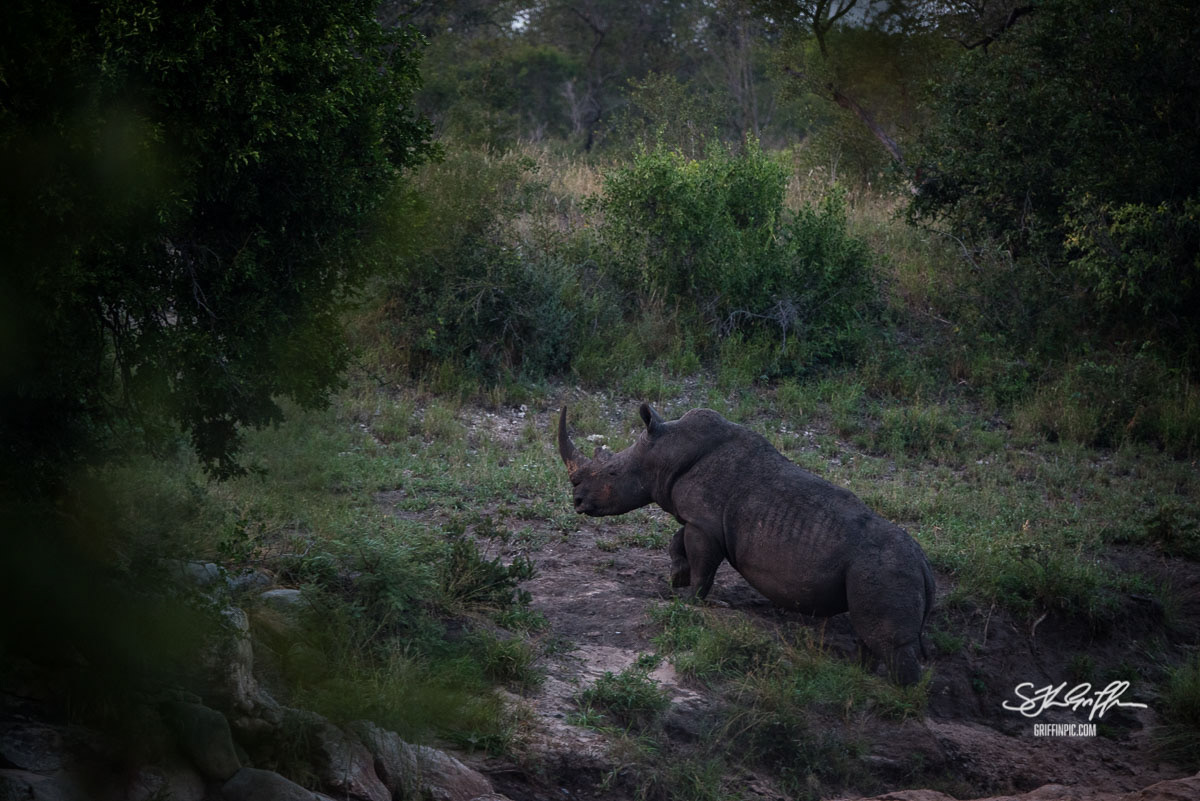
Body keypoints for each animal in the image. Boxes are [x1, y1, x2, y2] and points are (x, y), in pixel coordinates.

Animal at [558, 403, 936, 685]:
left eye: (611, 474)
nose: (577, 501)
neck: (663, 452)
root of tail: (925, 567)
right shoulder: (702, 521)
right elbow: (678, 543)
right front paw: (676, 578)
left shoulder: (705, 523)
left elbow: (703, 564)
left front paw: (691, 599)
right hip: (883, 570)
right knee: (869, 634)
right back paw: (861, 677)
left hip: (884, 568)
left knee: (889, 642)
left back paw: (894, 697)